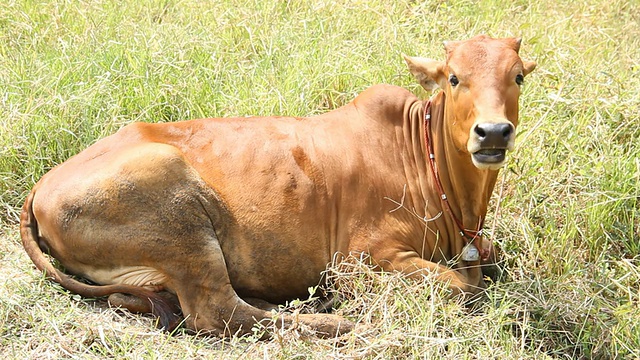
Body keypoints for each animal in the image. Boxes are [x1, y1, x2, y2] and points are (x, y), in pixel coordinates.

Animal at [20, 35, 536, 336]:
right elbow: (462, 288)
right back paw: (333, 320)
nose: (493, 132)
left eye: (517, 76)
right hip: (181, 219)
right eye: (454, 78)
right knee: (219, 313)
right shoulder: (363, 257)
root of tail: (40, 188)